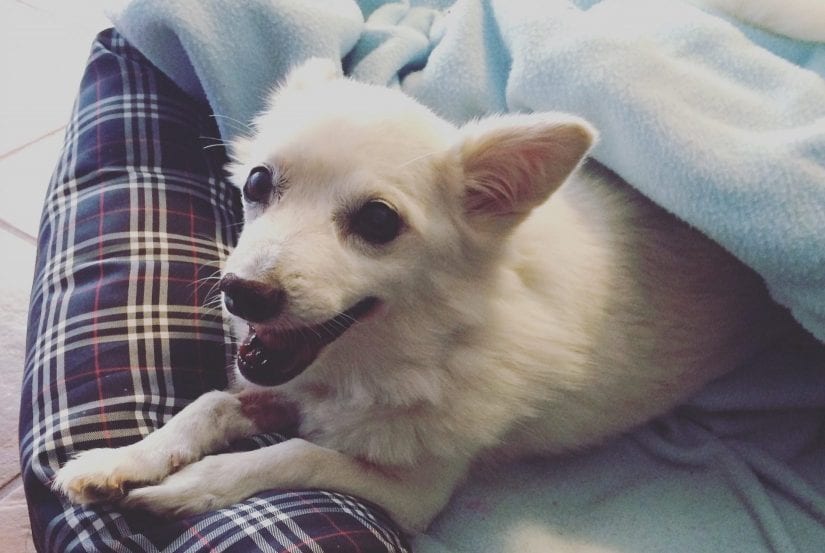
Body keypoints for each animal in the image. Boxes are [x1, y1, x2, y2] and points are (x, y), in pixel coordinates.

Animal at [56, 58, 784, 532]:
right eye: (257, 184)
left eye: (379, 222)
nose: (241, 293)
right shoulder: (280, 386)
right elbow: (208, 404)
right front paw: (122, 459)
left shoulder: (416, 494)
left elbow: (295, 452)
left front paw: (185, 489)